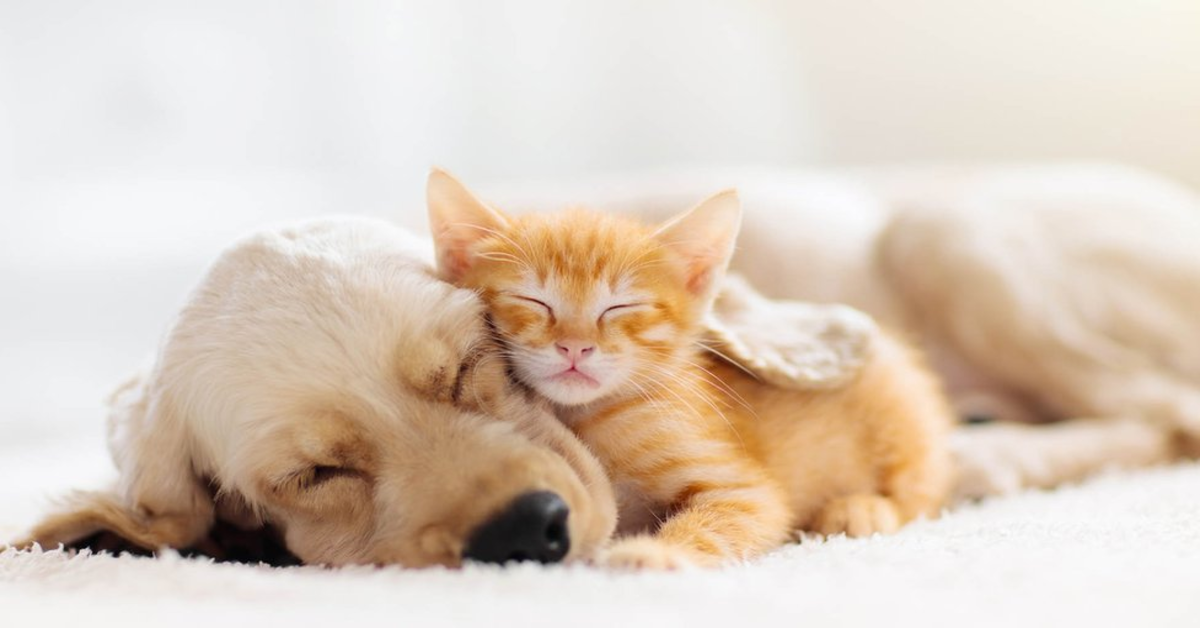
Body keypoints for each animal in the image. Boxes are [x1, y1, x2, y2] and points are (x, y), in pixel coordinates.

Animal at [427, 170, 950, 569]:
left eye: (620, 307)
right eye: (533, 300)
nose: (574, 346)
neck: (588, 418)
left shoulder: (744, 489)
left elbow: (721, 520)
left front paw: (653, 554)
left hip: (899, 412)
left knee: (924, 489)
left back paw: (863, 508)